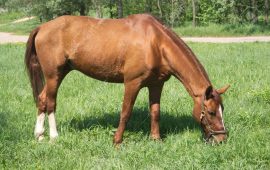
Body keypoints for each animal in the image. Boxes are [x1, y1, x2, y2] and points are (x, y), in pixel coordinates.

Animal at [24, 14, 230, 143]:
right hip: (54, 75)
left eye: (222, 109)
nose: (221, 139)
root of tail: (42, 27)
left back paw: (39, 135)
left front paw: (156, 139)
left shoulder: (156, 85)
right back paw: (53, 136)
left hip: (59, 73)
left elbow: (155, 112)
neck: (156, 43)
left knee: (42, 99)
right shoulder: (132, 83)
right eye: (211, 112)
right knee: (51, 103)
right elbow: (126, 112)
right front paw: (117, 141)